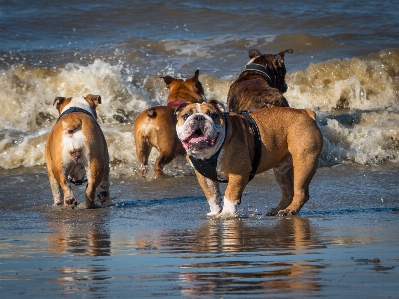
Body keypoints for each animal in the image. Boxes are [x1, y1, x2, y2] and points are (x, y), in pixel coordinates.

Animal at [177, 101, 324, 218]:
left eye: (213, 115)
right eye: (185, 116)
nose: (199, 117)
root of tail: (305, 112)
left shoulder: (238, 174)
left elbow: (230, 194)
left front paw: (227, 213)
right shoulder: (204, 177)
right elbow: (212, 195)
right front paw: (215, 212)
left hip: (304, 162)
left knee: (301, 192)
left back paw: (289, 210)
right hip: (282, 171)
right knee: (288, 192)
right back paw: (278, 209)